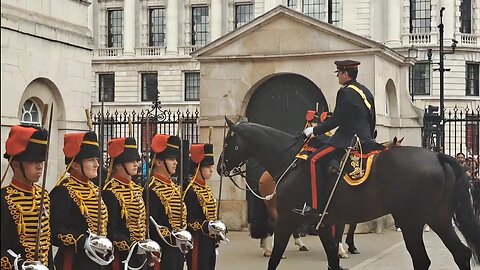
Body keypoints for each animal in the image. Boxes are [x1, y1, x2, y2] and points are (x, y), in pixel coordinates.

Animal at [218, 119, 480, 270]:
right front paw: (344, 250)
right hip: (438, 218)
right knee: (461, 254)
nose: (220, 167)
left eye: (227, 142)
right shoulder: (324, 222)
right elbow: (333, 258)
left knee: (424, 260)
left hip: (413, 221)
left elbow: (275, 261)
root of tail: (437, 156)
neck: (289, 160)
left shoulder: (288, 218)